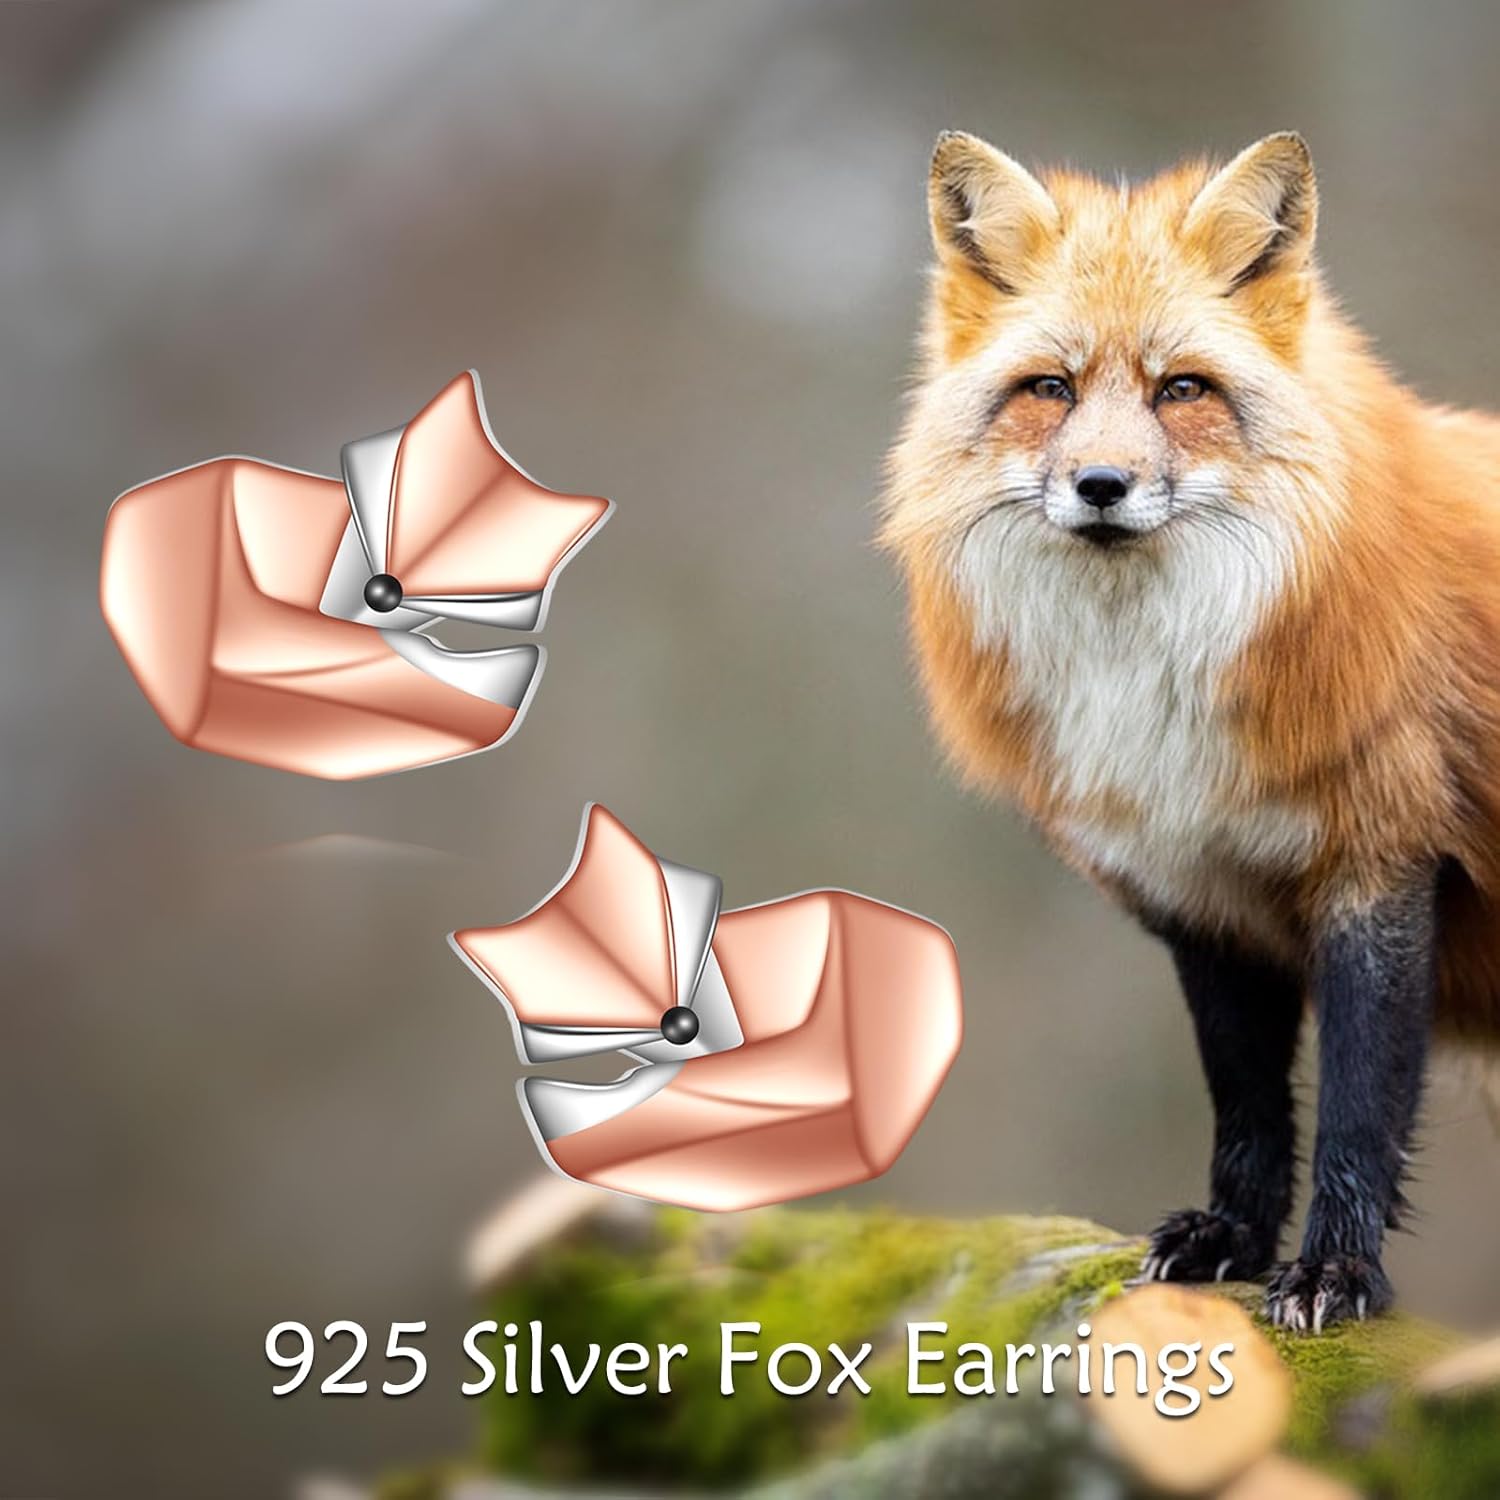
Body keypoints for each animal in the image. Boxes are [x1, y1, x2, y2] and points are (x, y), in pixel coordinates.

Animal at [879, 129, 1500, 1332]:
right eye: (1052, 388)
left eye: (1181, 390)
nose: (1101, 484)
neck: (1154, 688)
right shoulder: (1203, 892)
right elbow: (1247, 1107)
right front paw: (1236, 1241)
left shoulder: (1381, 864)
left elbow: (1357, 1111)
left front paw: (1335, 1272)